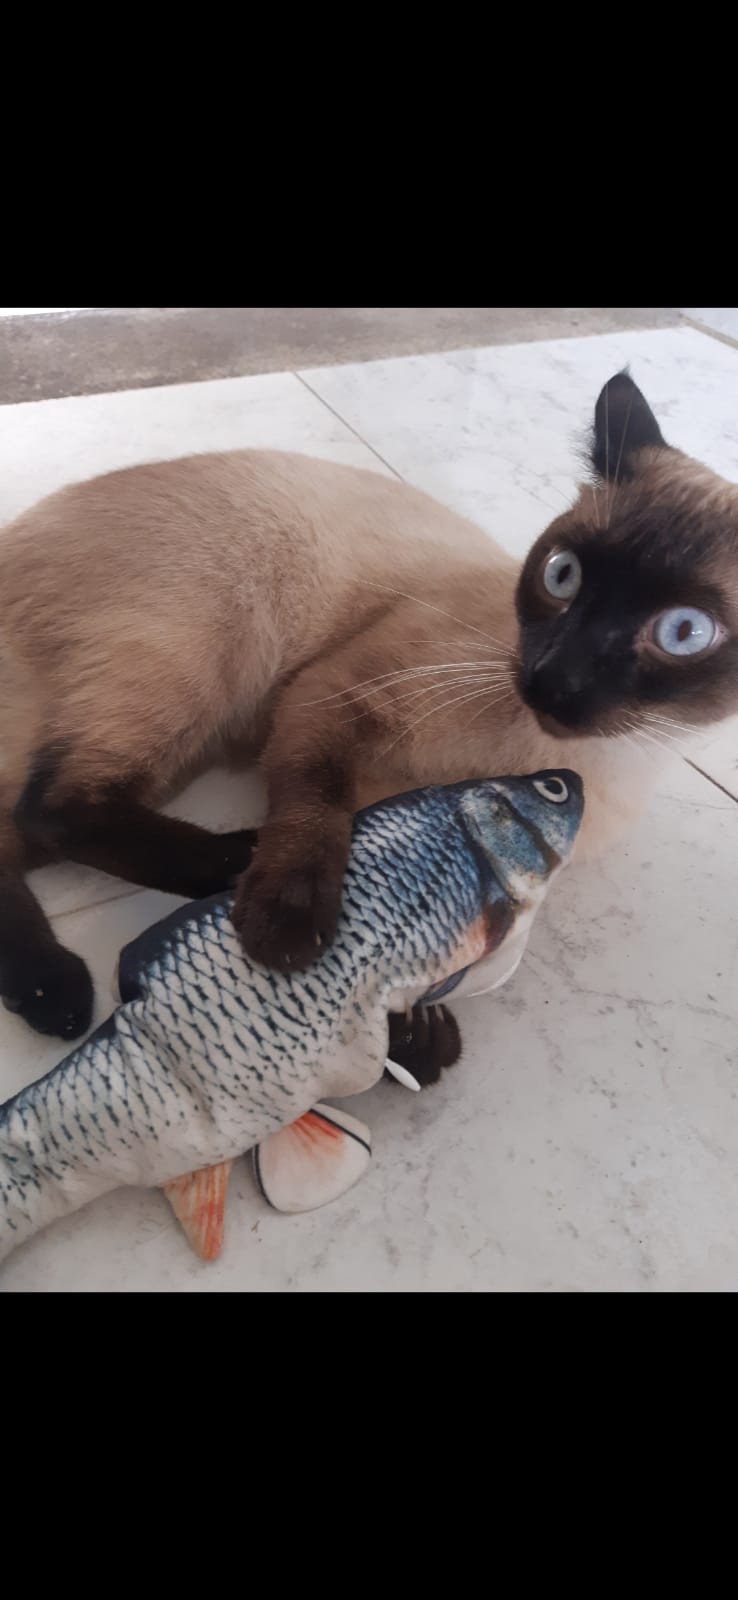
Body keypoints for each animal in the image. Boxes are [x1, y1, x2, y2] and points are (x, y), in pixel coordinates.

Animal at [0, 370, 733, 1052]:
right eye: (563, 575)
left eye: (684, 633)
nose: (553, 677)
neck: (539, 750)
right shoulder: (328, 697)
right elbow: (316, 811)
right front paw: (290, 924)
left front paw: (410, 1032)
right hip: (197, 665)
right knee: (54, 808)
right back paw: (226, 868)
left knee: (19, 829)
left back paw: (52, 993)